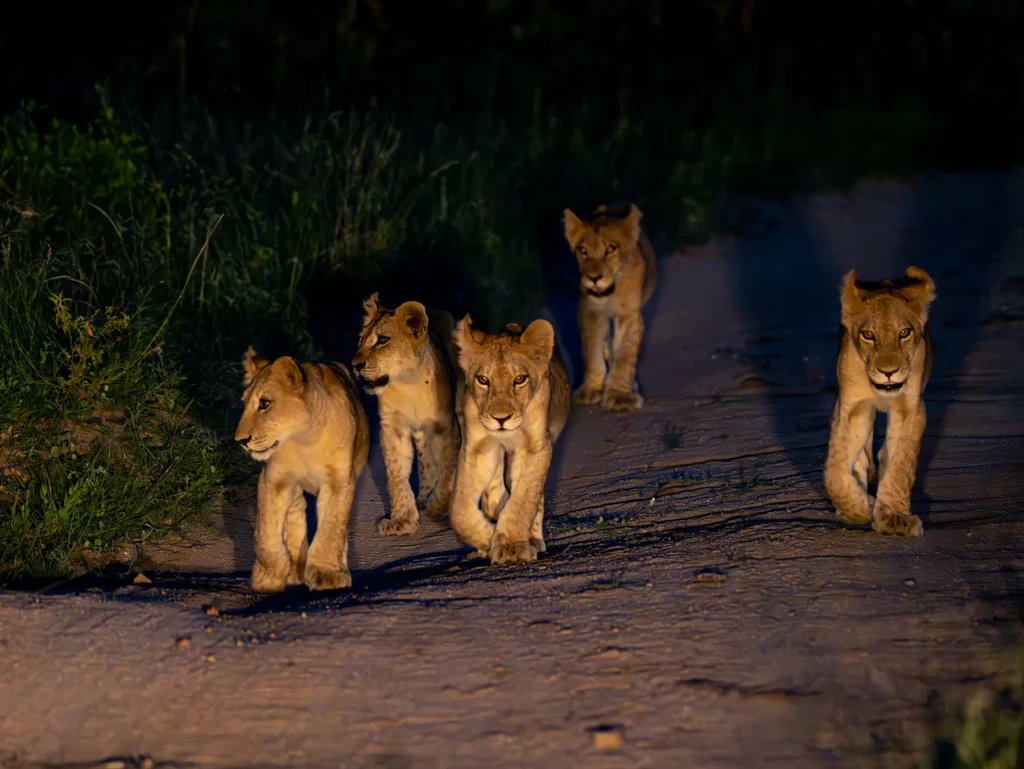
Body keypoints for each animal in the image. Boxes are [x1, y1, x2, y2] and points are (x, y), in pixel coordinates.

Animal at [234, 347, 369, 592]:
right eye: (245, 402)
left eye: (265, 404)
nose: (241, 440)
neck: (305, 440)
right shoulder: (273, 479)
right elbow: (266, 533)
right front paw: (268, 578)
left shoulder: (339, 481)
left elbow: (331, 528)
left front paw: (328, 574)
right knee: (296, 514)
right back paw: (295, 570)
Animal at [351, 294, 463, 536]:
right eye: (360, 339)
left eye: (382, 340)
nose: (355, 365)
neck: (408, 383)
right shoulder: (392, 427)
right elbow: (396, 474)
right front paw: (402, 520)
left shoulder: (445, 426)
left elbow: (449, 468)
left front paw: (440, 506)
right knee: (426, 463)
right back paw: (422, 500)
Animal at [449, 316, 570, 565]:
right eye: (483, 380)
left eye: (520, 379)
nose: (501, 419)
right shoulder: (478, 448)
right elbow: (459, 513)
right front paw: (487, 539)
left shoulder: (535, 447)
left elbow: (524, 499)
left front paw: (511, 545)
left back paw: (532, 538)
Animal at [562, 202, 657, 413]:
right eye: (583, 250)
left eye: (611, 249)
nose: (594, 278)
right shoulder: (590, 311)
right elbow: (592, 352)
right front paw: (592, 389)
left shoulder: (628, 313)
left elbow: (625, 354)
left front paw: (619, 396)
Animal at [823, 266, 936, 538]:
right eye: (868, 335)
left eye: (904, 333)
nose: (888, 372)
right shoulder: (851, 408)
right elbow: (834, 471)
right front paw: (858, 509)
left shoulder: (911, 409)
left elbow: (901, 465)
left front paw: (894, 518)